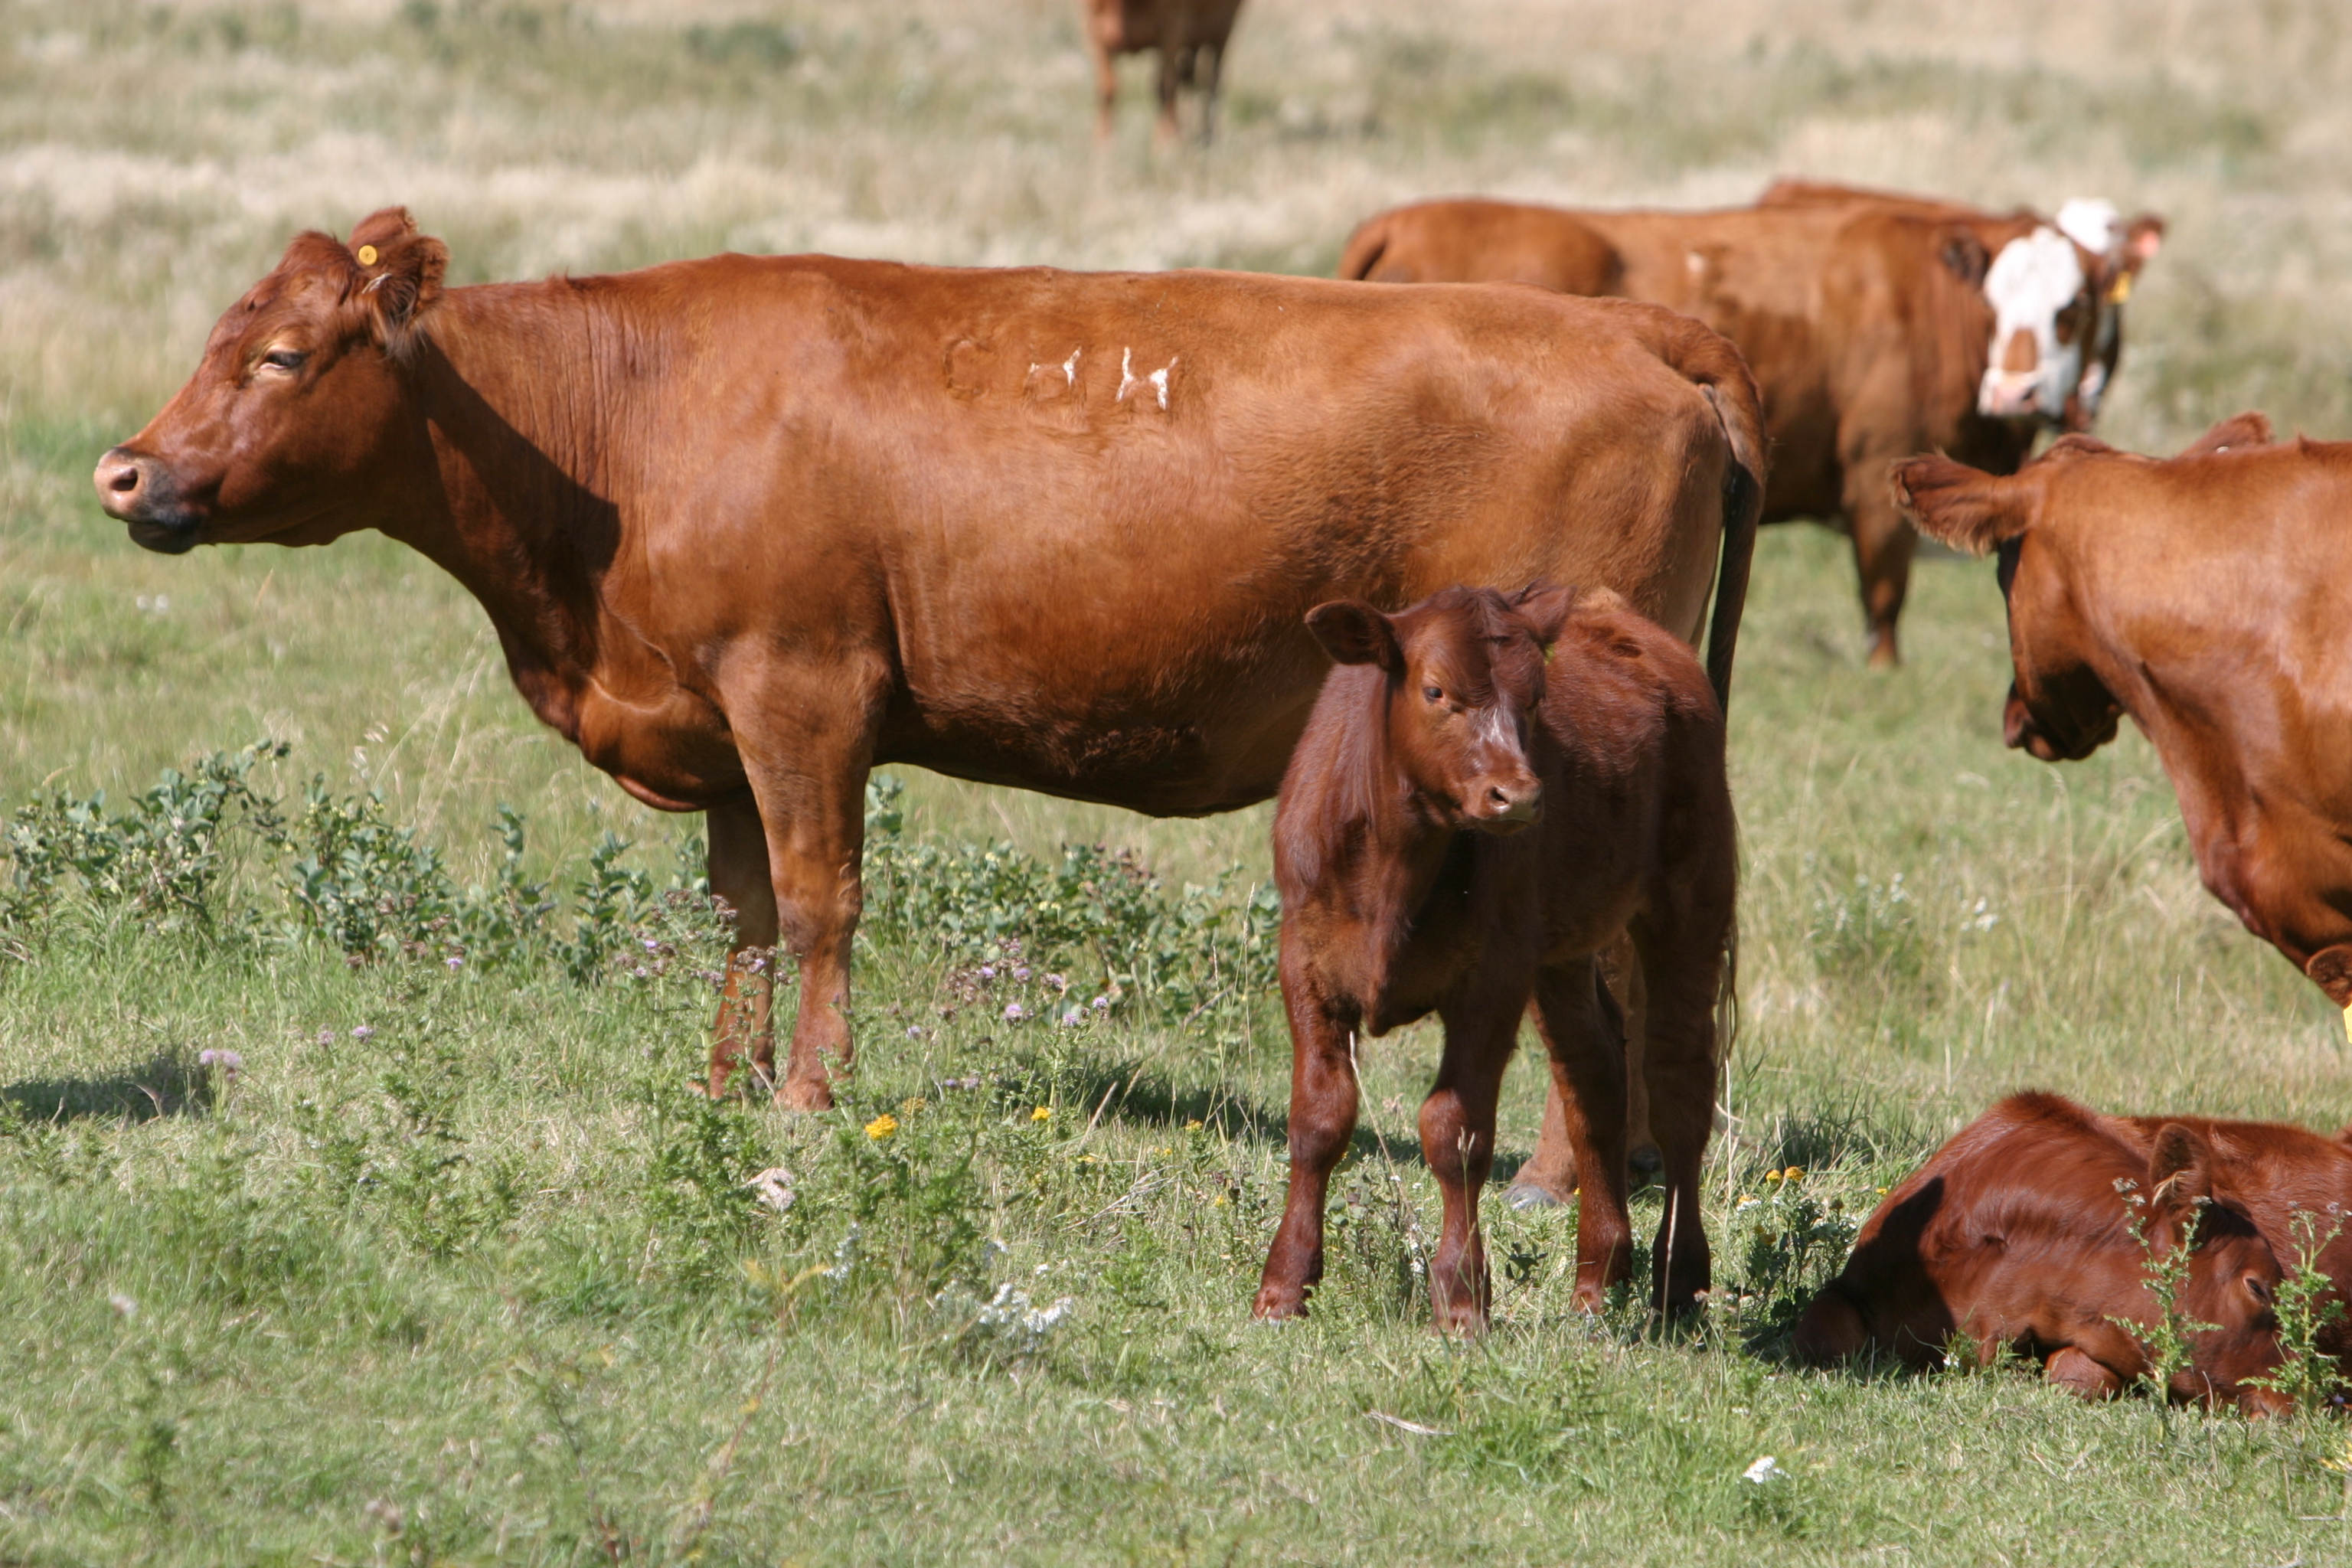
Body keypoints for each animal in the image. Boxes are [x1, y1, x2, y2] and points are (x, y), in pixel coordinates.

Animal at [95, 208, 1763, 1116]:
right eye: (221, 332)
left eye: (281, 355)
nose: (126, 472)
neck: (619, 432)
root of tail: (1639, 327)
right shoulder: (720, 725)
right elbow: (741, 915)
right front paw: (723, 1084)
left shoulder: (805, 692)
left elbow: (820, 901)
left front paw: (808, 1095)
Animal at [1084, 0, 1244, 145]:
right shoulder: (1095, 30)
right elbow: (1107, 88)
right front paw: (1104, 141)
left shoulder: (1173, 27)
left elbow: (1166, 87)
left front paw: (1167, 140)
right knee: (1190, 80)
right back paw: (1191, 131)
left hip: (1222, 30)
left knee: (1213, 81)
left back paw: (1208, 135)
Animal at [1255, 584, 1735, 1330]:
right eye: (1435, 689)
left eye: (1535, 699)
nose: (1521, 796)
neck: (1394, 863)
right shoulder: (1304, 960)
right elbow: (1317, 1119)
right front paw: (1283, 1286)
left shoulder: (1492, 977)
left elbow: (1454, 1133)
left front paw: (1460, 1297)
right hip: (1562, 949)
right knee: (1593, 1075)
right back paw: (1596, 1281)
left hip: (1691, 900)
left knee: (1678, 1085)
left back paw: (1679, 1282)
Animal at [1337, 194, 2118, 667]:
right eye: (1995, 303)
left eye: (2074, 306)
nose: (2018, 390)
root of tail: (1407, 219)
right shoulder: (1877, 482)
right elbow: (1884, 608)